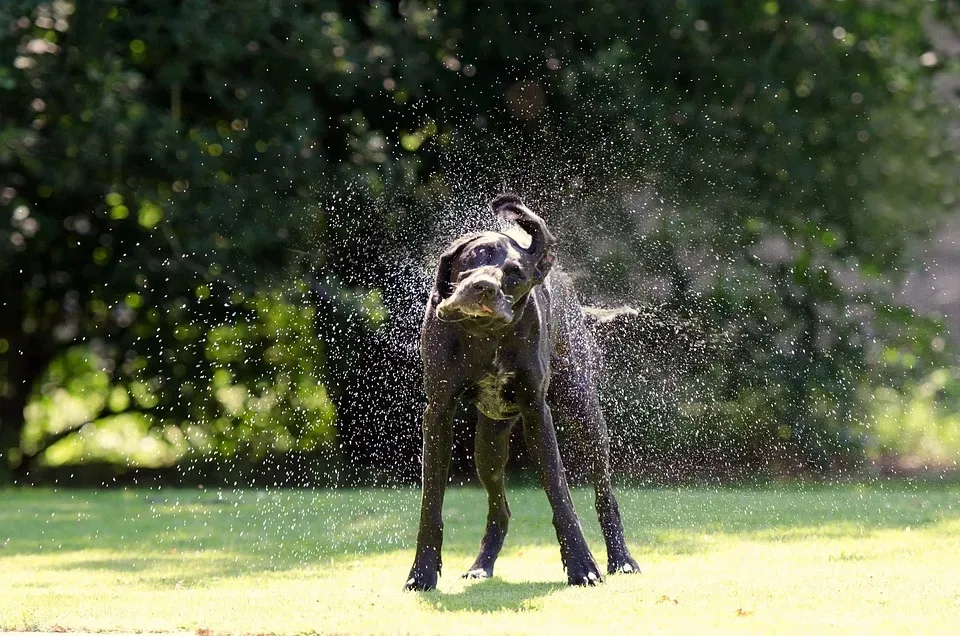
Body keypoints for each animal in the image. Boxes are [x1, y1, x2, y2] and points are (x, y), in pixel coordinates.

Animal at [402, 195, 640, 592]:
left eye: (514, 274)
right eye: (476, 255)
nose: (484, 287)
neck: (484, 333)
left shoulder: (536, 413)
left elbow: (561, 497)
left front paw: (582, 566)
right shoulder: (438, 413)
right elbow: (430, 504)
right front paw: (421, 573)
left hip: (587, 420)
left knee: (606, 496)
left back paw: (621, 559)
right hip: (488, 448)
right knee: (501, 510)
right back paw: (481, 566)